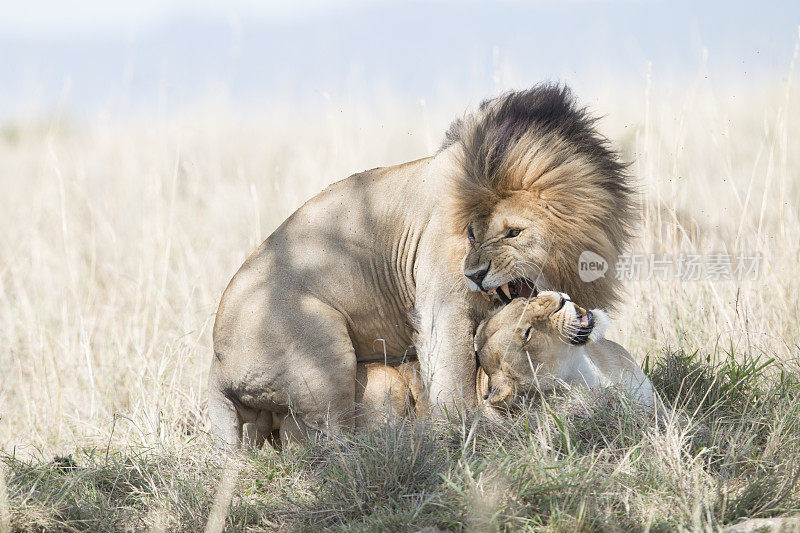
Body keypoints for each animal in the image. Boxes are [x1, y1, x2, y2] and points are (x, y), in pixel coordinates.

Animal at [209, 84, 636, 444]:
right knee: (326, 440)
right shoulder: (443, 301)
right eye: (471, 234)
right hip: (323, 354)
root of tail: (215, 365)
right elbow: (454, 379)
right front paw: (465, 436)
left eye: (512, 233)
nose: (474, 275)